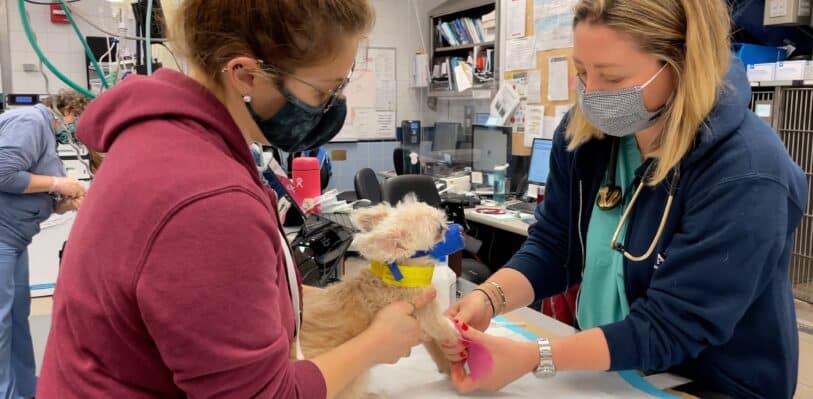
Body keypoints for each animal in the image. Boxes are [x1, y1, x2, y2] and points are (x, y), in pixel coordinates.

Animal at [300, 196, 464, 399]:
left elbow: (435, 348)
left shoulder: (423, 329)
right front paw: (456, 333)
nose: (459, 229)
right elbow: (441, 327)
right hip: (354, 378)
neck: (402, 271)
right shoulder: (424, 312)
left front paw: (448, 366)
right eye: (439, 229)